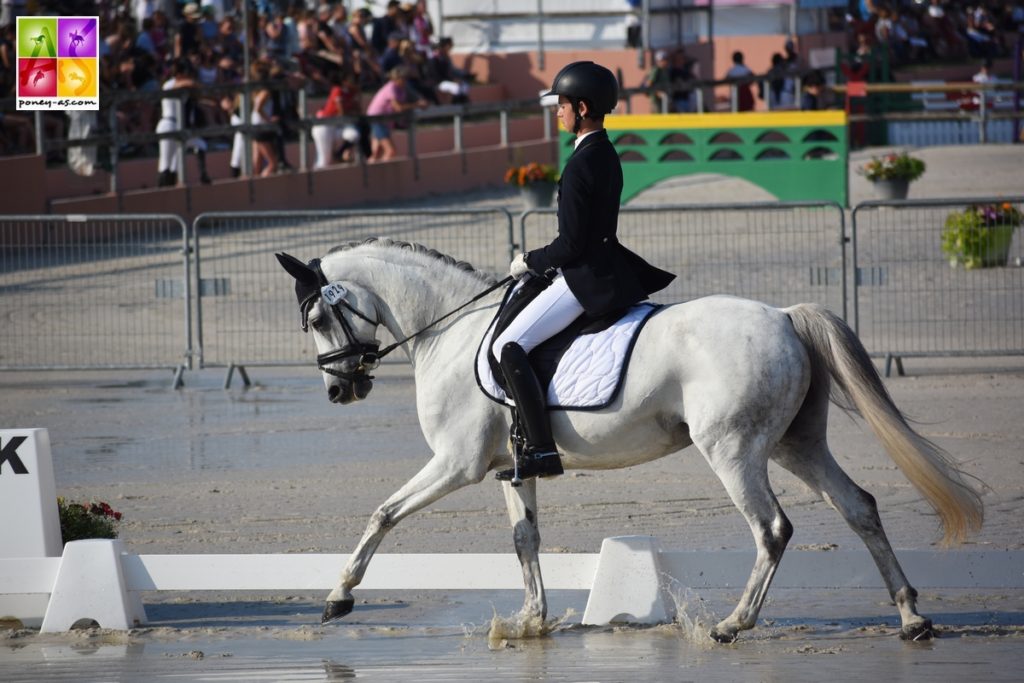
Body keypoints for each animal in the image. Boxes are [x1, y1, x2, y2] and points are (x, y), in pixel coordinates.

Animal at [274, 237, 983, 643]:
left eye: (318, 317)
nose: (339, 390)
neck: (450, 329)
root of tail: (784, 316)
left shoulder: (455, 463)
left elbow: (384, 513)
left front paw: (338, 598)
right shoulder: (510, 467)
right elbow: (525, 539)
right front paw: (531, 623)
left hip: (733, 450)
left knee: (773, 529)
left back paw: (732, 625)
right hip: (795, 444)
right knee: (860, 506)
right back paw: (911, 619)